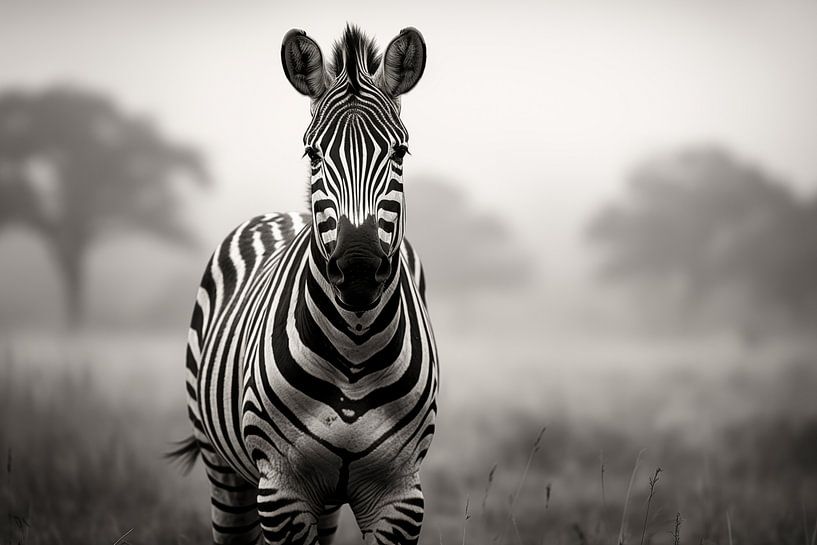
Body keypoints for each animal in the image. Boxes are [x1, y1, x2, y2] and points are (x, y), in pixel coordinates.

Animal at [171, 25, 438, 545]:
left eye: (400, 152)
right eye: (313, 153)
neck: (355, 353)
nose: (358, 269)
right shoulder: (282, 490)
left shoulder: (400, 493)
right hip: (222, 466)